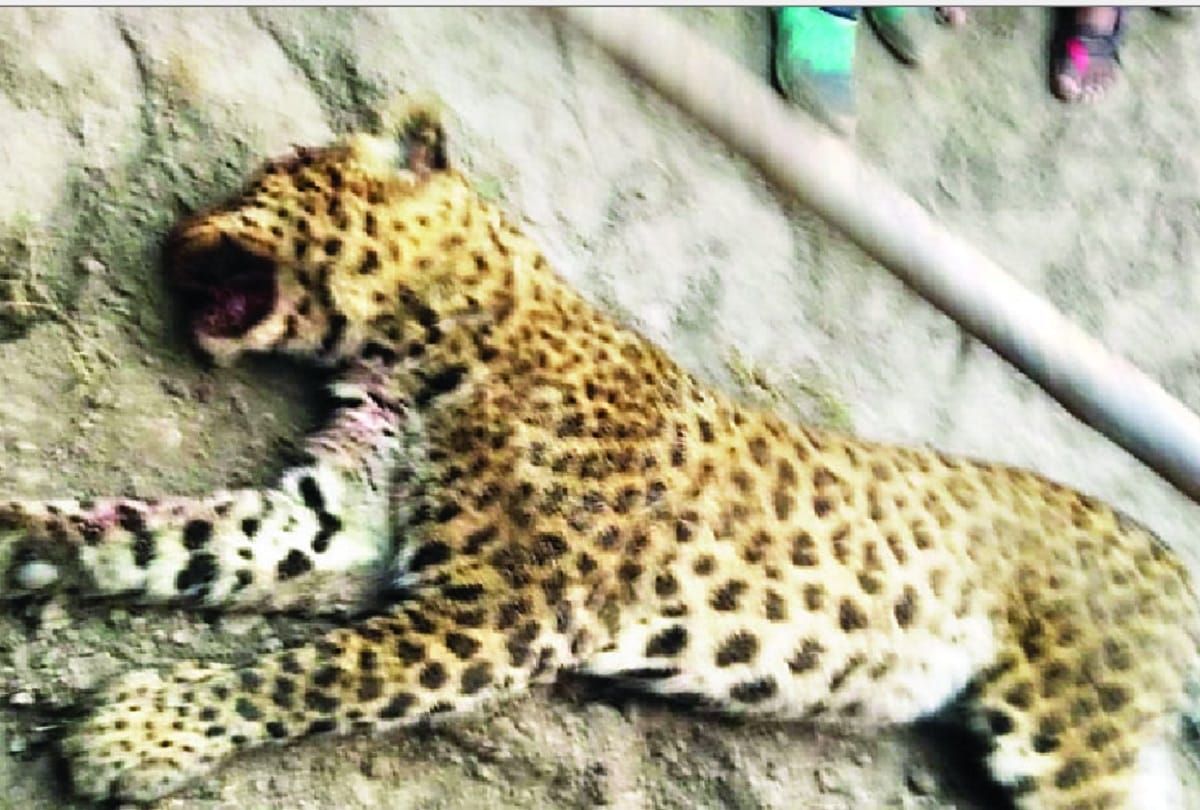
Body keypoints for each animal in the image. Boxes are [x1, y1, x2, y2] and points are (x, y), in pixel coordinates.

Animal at [0, 97, 1197, 809]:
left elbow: (304, 675)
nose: (166, 240)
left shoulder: (500, 614)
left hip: (1069, 736)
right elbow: (165, 535)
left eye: (272, 175)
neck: (434, 350)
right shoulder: (336, 519)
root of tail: (1166, 554)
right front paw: (26, 540)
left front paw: (137, 733)